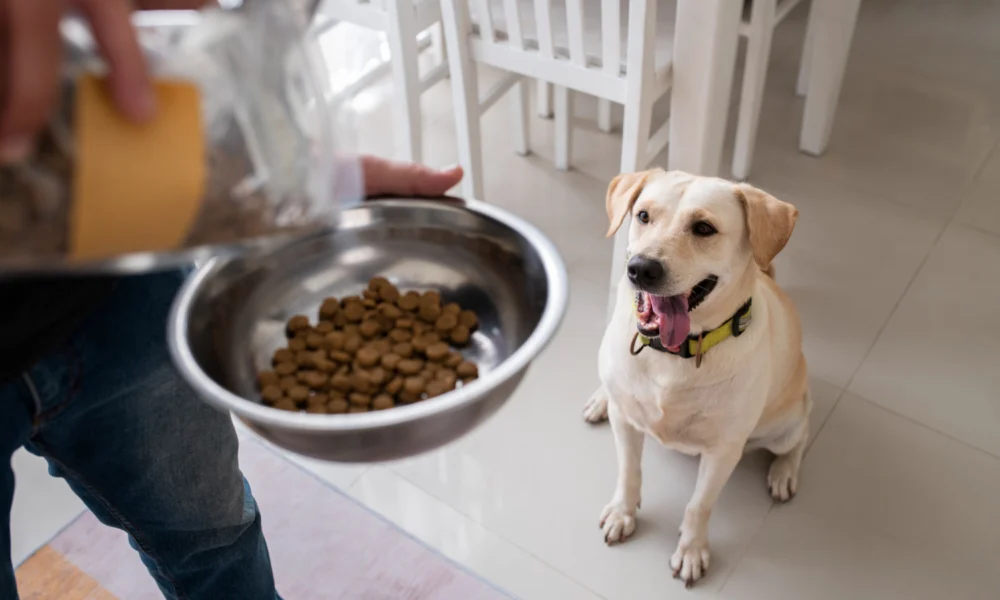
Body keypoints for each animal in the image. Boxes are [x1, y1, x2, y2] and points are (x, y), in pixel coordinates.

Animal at [584, 168, 808, 584]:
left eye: (704, 228)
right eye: (643, 215)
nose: (641, 268)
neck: (673, 355)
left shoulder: (723, 451)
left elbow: (699, 505)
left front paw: (691, 550)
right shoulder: (626, 423)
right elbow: (629, 472)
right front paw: (623, 512)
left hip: (784, 425)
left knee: (798, 440)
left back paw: (784, 472)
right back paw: (600, 398)